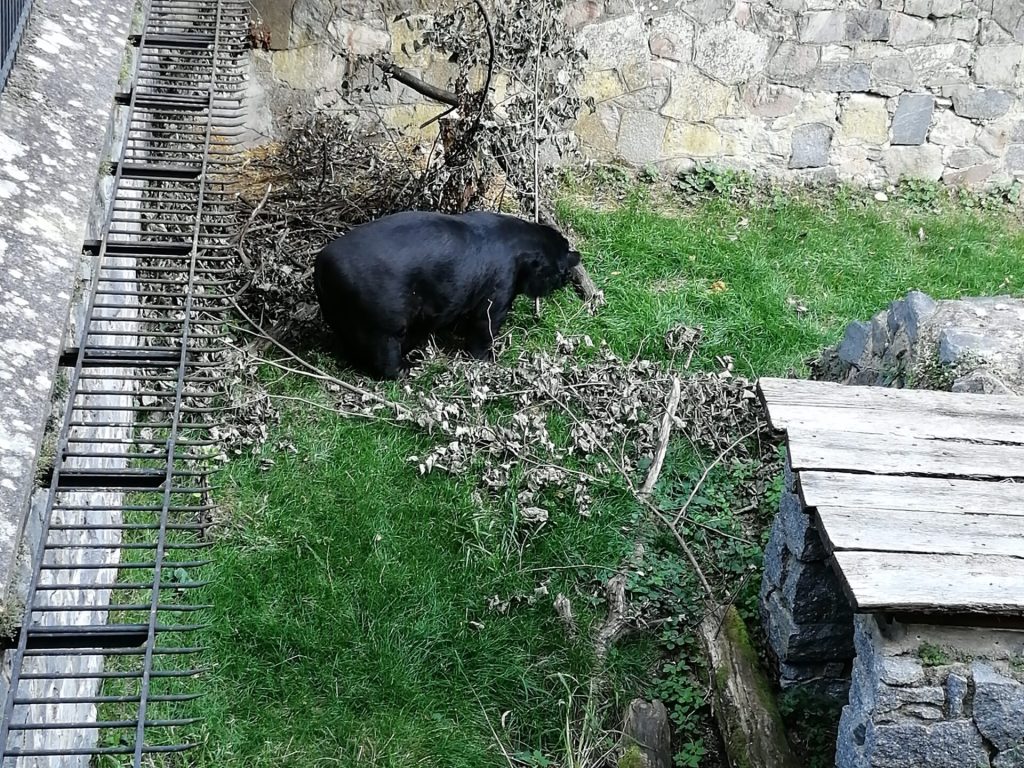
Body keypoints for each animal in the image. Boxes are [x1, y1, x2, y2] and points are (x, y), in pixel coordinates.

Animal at [311, 208, 585, 380]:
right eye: (561, 269)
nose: (576, 257)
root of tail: (323, 267)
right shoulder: (497, 295)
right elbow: (484, 330)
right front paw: (488, 360)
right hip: (385, 322)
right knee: (385, 355)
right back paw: (406, 369)